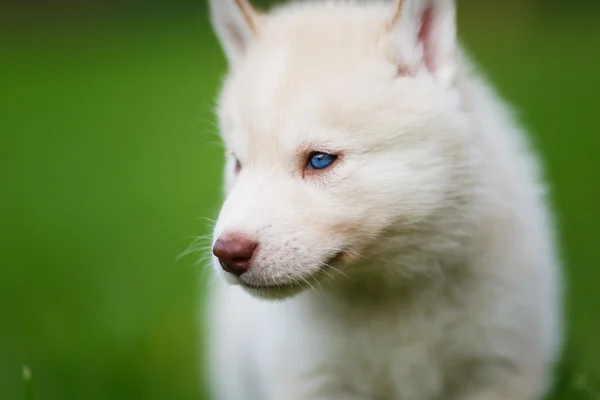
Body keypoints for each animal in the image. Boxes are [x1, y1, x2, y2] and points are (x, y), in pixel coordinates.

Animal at [205, 1, 564, 398]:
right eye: (238, 163)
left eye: (320, 160)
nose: (228, 253)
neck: (392, 290)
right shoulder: (312, 378)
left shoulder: (499, 366)